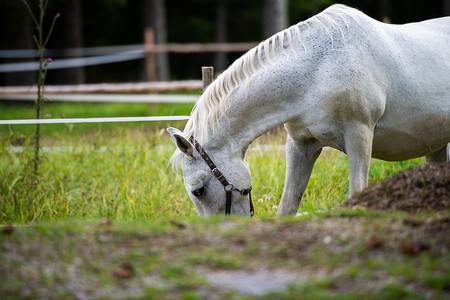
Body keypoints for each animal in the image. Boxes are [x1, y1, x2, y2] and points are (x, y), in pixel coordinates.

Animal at [169, 4, 450, 216]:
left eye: (198, 191)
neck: (318, 68)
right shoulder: (301, 145)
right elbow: (287, 207)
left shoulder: (359, 137)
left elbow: (356, 193)